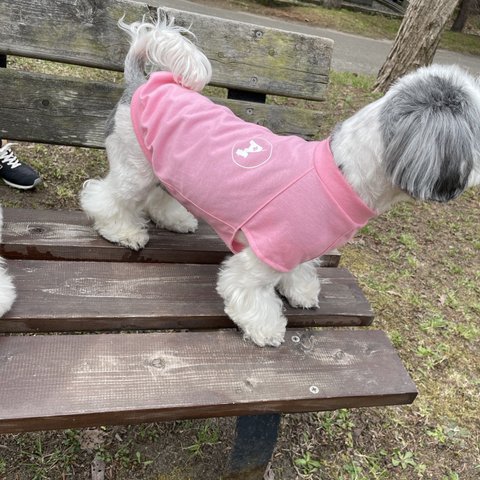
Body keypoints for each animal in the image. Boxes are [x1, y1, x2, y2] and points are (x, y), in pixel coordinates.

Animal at [80, 13, 478, 346]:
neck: (343, 173)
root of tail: (143, 83)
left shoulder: (298, 247)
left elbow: (300, 270)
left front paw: (300, 291)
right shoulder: (265, 254)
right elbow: (250, 294)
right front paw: (266, 328)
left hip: (166, 169)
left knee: (158, 195)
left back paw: (175, 219)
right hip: (134, 167)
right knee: (108, 197)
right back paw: (123, 231)